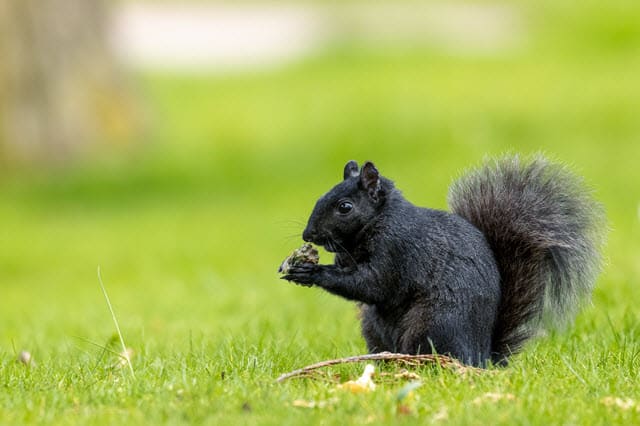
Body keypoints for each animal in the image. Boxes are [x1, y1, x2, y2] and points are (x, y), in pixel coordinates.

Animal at [282, 156, 604, 366]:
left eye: (345, 207)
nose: (308, 234)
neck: (378, 221)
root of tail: (482, 357)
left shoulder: (397, 249)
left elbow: (371, 284)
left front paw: (311, 271)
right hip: (373, 327)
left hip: (432, 325)